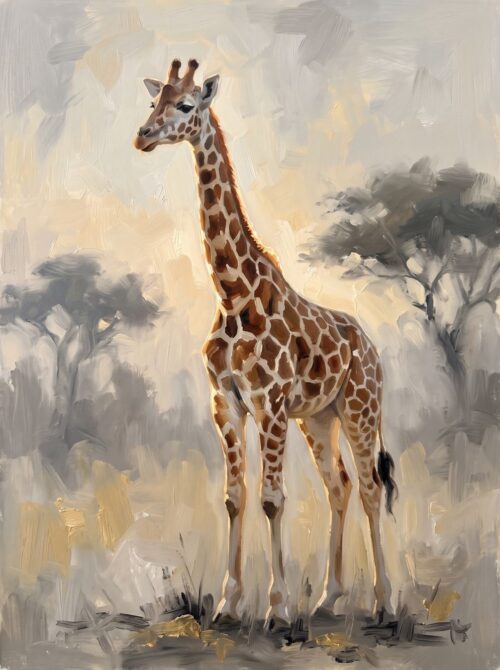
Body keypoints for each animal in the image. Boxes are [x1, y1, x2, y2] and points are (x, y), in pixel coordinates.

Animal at [134, 59, 397, 623]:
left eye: (185, 104)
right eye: (151, 102)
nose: (142, 136)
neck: (233, 294)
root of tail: (371, 348)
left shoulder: (270, 404)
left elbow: (272, 498)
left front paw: (277, 609)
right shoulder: (227, 404)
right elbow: (234, 497)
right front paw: (228, 604)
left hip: (359, 410)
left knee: (369, 488)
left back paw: (384, 602)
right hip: (318, 418)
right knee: (339, 486)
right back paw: (328, 598)